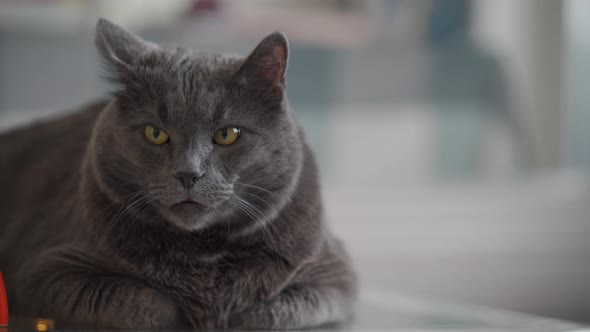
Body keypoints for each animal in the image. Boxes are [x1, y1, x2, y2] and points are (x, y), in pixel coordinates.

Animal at [0, 18, 356, 330]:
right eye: (155, 133)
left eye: (228, 134)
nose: (188, 173)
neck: (203, 254)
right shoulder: (43, 271)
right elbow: (150, 306)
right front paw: (192, 314)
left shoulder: (335, 276)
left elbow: (266, 313)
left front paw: (227, 315)